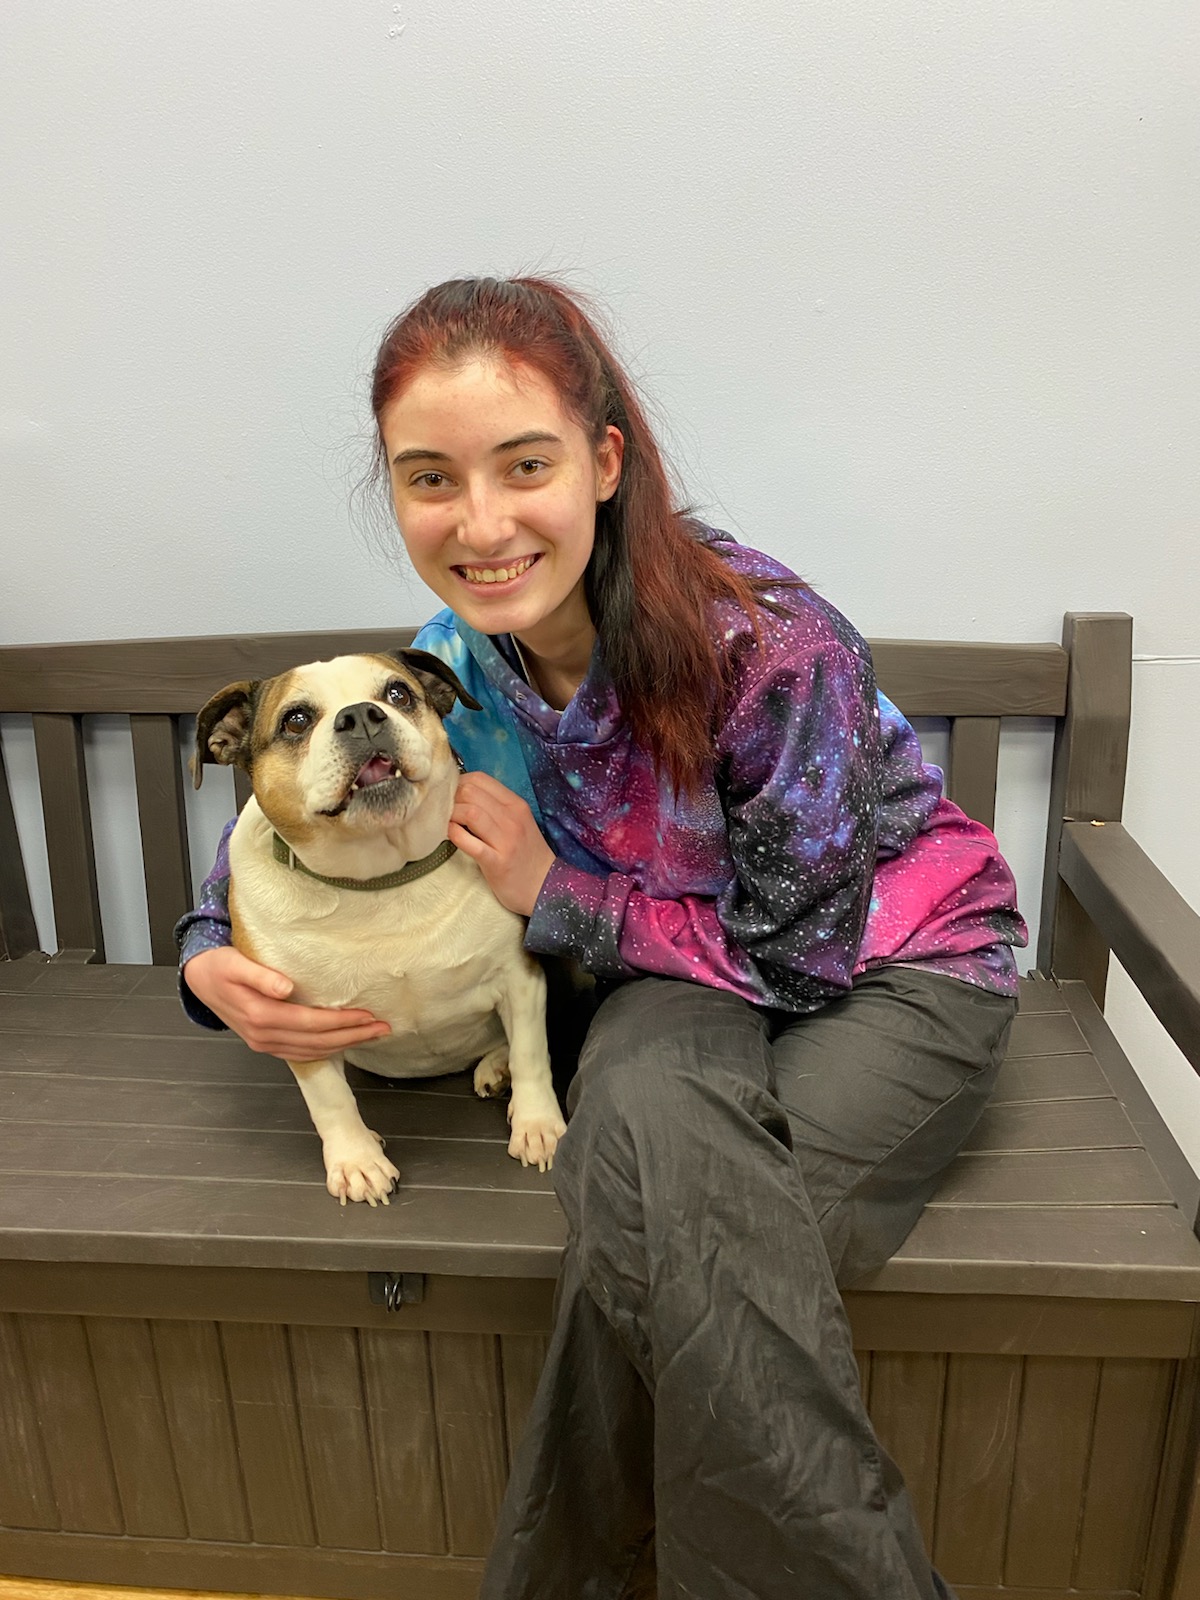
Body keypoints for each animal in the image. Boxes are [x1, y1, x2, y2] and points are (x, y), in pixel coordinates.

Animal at [192, 646, 569, 1203]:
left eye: (397, 693)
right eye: (295, 720)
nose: (361, 716)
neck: (383, 879)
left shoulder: (519, 979)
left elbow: (531, 1054)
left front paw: (539, 1125)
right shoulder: (294, 1024)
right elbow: (330, 1100)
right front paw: (355, 1159)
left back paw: (496, 1068)